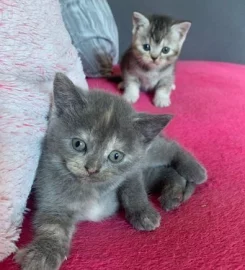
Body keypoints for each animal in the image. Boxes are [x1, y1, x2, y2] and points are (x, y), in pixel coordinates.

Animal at [15, 74, 207, 270]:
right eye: (78, 144)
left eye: (116, 156)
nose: (92, 168)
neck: (92, 188)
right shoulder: (50, 189)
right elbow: (52, 224)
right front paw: (43, 253)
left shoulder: (132, 169)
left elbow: (133, 187)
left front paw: (143, 212)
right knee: (166, 171)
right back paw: (172, 195)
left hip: (149, 153)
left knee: (170, 148)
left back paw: (195, 171)